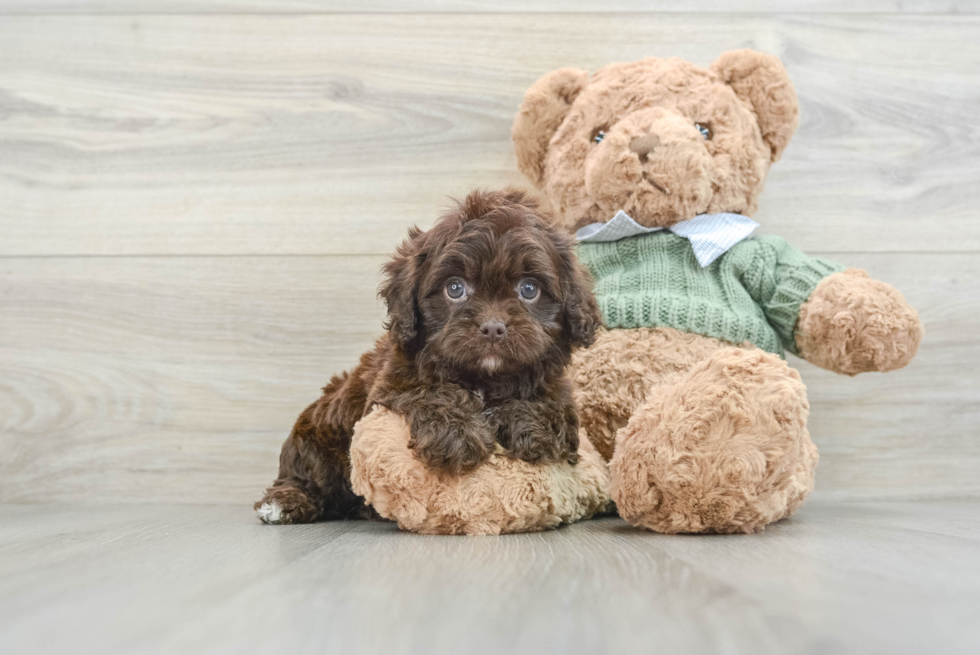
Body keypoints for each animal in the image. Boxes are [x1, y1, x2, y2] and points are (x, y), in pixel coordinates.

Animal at [256, 187, 600, 524]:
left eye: (529, 289)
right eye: (455, 288)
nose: (492, 327)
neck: (485, 379)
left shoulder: (558, 388)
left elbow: (556, 408)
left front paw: (525, 424)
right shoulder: (391, 384)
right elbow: (430, 391)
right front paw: (457, 434)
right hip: (316, 439)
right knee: (306, 474)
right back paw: (284, 502)